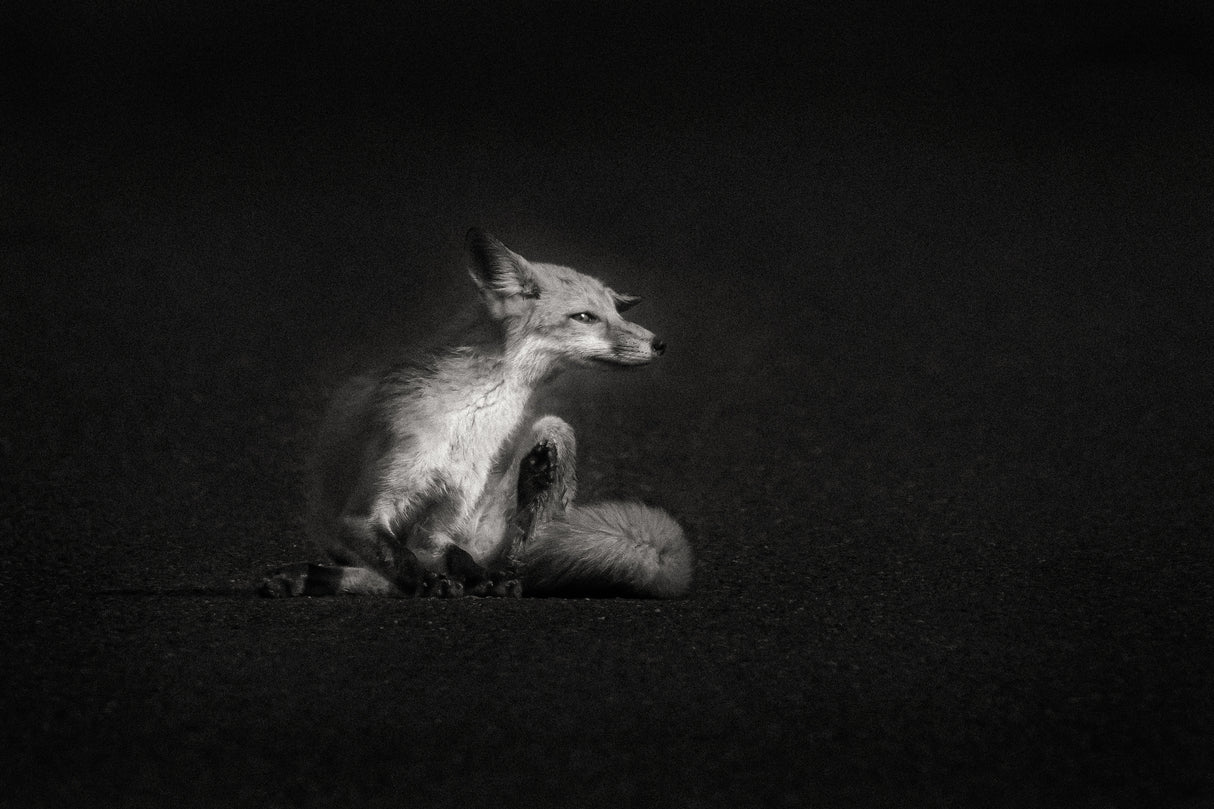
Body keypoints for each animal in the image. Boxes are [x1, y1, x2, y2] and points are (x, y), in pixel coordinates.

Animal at [259, 228, 692, 599]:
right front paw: (429, 583)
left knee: (523, 557)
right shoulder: (363, 513)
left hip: (553, 432)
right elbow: (401, 558)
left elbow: (458, 558)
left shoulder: (450, 517)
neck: (469, 420)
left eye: (617, 315)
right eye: (585, 317)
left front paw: (475, 578)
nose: (660, 343)